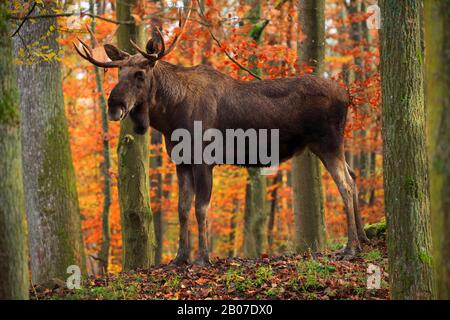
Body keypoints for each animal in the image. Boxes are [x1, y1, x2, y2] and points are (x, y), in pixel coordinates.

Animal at [74, 8, 370, 266]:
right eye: (118, 71)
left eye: (139, 73)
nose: (114, 105)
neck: (170, 118)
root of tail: (348, 96)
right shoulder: (180, 161)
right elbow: (182, 209)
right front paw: (179, 258)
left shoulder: (205, 158)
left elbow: (201, 208)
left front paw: (202, 258)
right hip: (332, 145)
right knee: (354, 176)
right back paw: (363, 240)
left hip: (328, 142)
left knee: (346, 184)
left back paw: (350, 248)